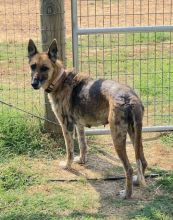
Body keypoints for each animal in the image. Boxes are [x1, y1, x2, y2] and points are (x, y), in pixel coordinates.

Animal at [27, 38, 147, 199]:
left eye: (44, 68)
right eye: (33, 66)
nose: (34, 83)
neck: (59, 80)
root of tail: (130, 97)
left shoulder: (66, 126)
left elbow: (69, 150)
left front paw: (68, 165)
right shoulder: (79, 125)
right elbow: (83, 145)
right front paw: (82, 161)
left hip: (117, 136)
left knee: (129, 168)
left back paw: (126, 194)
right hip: (134, 134)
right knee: (142, 161)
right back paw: (136, 182)